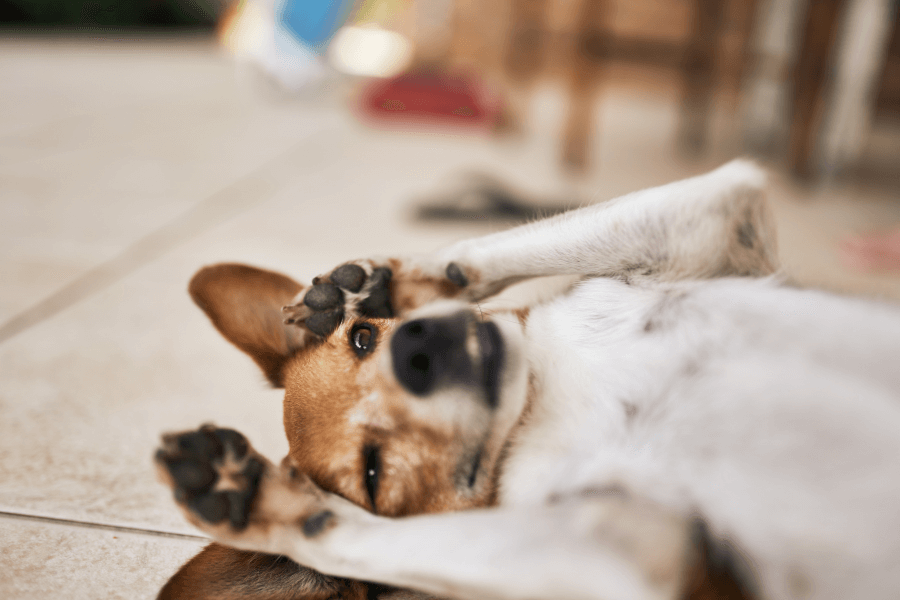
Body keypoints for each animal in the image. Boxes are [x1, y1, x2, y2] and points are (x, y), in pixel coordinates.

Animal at [158, 159, 900, 600]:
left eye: (364, 340)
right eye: (373, 471)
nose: (420, 350)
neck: (543, 391)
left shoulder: (712, 223)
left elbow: (489, 249)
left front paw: (373, 284)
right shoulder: (629, 543)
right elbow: (350, 536)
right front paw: (255, 498)